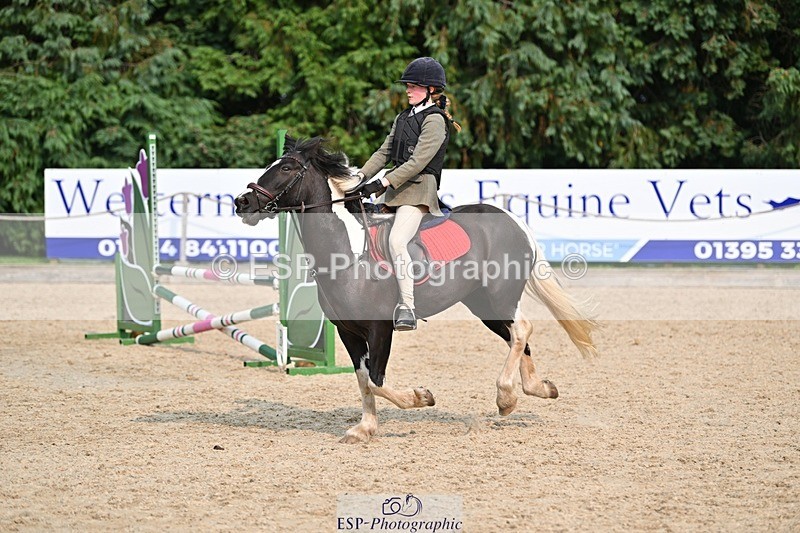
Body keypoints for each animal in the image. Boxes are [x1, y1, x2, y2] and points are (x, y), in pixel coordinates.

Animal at [234, 137, 597, 444]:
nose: (242, 201)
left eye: (286, 168)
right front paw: (364, 429)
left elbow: (376, 380)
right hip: (482, 303)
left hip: (498, 296)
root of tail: (511, 218)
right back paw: (538, 388)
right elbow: (363, 379)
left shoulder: (380, 328)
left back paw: (505, 396)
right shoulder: (348, 332)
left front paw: (421, 397)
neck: (347, 256)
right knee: (516, 337)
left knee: (521, 330)